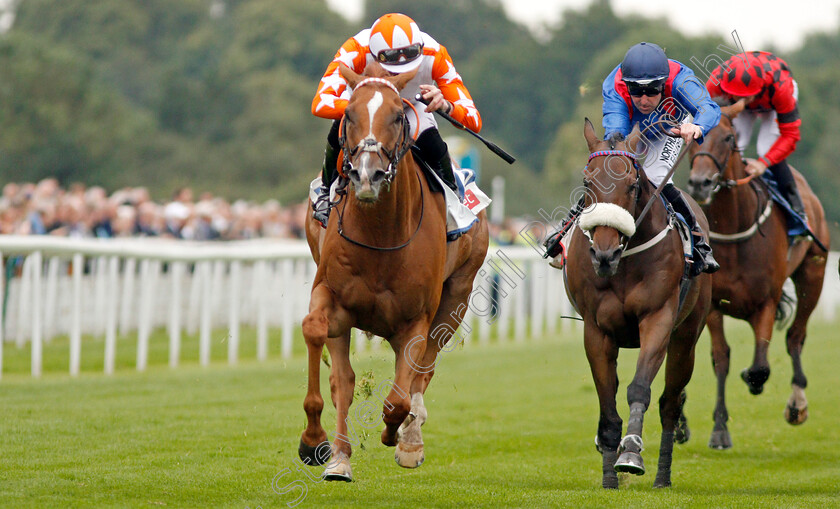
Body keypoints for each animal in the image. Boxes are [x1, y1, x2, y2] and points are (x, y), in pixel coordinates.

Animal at [298, 62, 488, 480]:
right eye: (349, 114)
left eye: (398, 115)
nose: (367, 175)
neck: (381, 236)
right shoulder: (331, 297)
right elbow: (319, 339)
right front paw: (316, 444)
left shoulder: (417, 318)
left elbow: (400, 395)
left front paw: (398, 434)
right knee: (345, 380)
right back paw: (340, 456)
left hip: (457, 297)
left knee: (422, 371)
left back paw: (410, 439)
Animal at [568, 119, 712, 488]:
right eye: (587, 182)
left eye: (632, 185)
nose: (604, 254)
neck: (624, 263)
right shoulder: (596, 331)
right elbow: (607, 403)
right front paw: (609, 475)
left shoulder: (658, 319)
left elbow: (639, 390)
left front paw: (631, 452)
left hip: (686, 337)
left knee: (669, 404)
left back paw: (662, 476)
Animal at [688, 99, 828, 448]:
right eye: (692, 140)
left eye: (728, 138)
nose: (699, 183)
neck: (733, 225)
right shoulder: (714, 305)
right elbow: (721, 358)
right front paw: (719, 428)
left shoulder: (767, 300)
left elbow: (761, 364)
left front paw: (754, 381)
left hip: (813, 275)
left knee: (795, 336)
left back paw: (797, 404)